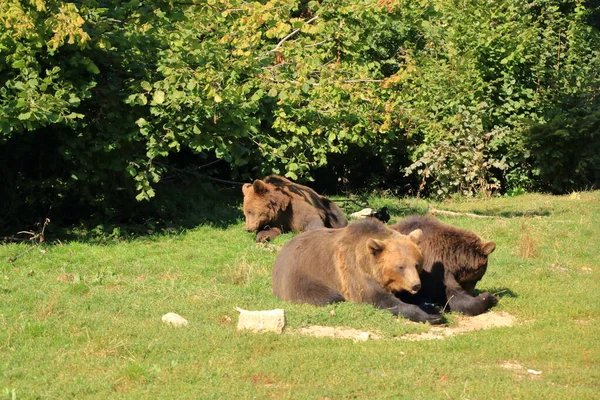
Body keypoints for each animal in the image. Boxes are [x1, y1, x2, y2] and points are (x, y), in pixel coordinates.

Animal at [274, 219, 442, 324]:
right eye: (400, 266)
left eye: (417, 264)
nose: (416, 285)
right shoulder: (355, 272)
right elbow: (380, 299)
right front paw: (432, 316)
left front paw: (432, 308)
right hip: (300, 276)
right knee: (328, 296)